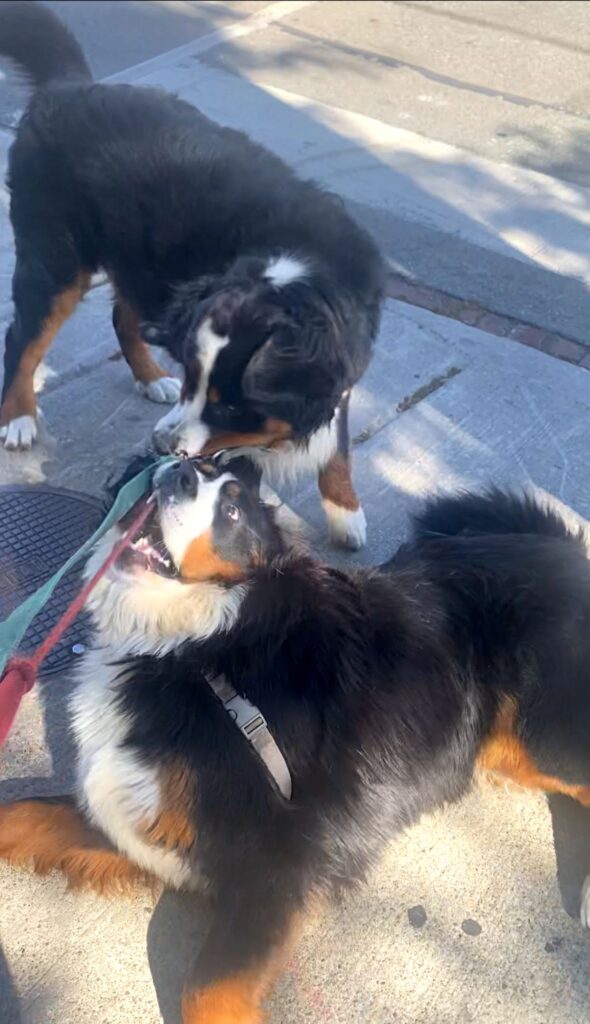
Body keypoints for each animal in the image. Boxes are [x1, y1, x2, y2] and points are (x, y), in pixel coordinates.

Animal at [0, 4, 387, 548]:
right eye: (191, 379)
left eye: (227, 409)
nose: (162, 442)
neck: (297, 268)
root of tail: (71, 85)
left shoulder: (343, 367)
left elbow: (338, 446)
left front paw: (345, 511)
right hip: (55, 262)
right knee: (23, 339)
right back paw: (18, 418)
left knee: (123, 318)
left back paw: (147, 377)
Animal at [1, 456, 590, 1024]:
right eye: (180, 460)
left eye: (232, 511)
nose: (176, 474)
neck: (196, 647)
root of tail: (559, 547)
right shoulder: (135, 817)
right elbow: (20, 812)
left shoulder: (281, 861)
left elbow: (205, 994)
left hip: (547, 734)